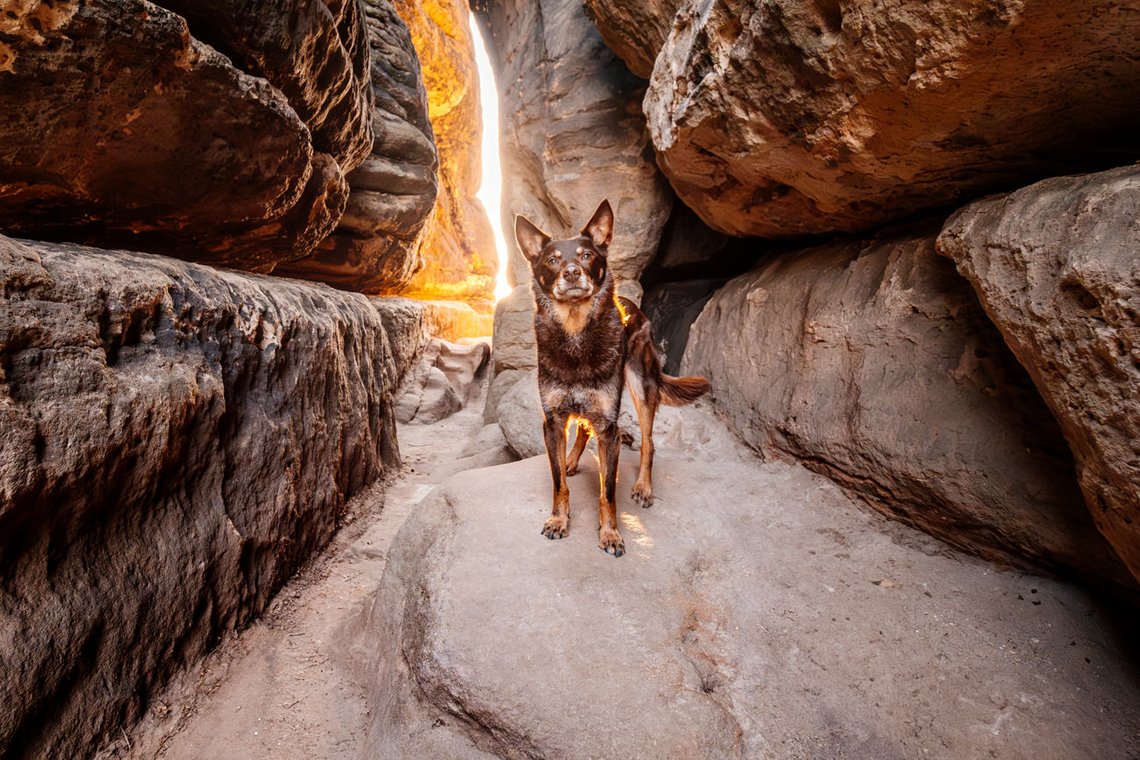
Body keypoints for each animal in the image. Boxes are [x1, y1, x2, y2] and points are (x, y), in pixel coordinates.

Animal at [519, 200, 711, 558]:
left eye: (586, 256)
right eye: (552, 260)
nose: (571, 272)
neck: (575, 335)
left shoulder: (610, 428)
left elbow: (607, 493)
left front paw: (610, 534)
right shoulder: (553, 422)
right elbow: (558, 482)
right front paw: (558, 519)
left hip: (640, 386)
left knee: (649, 442)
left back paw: (643, 487)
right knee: (583, 432)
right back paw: (571, 460)